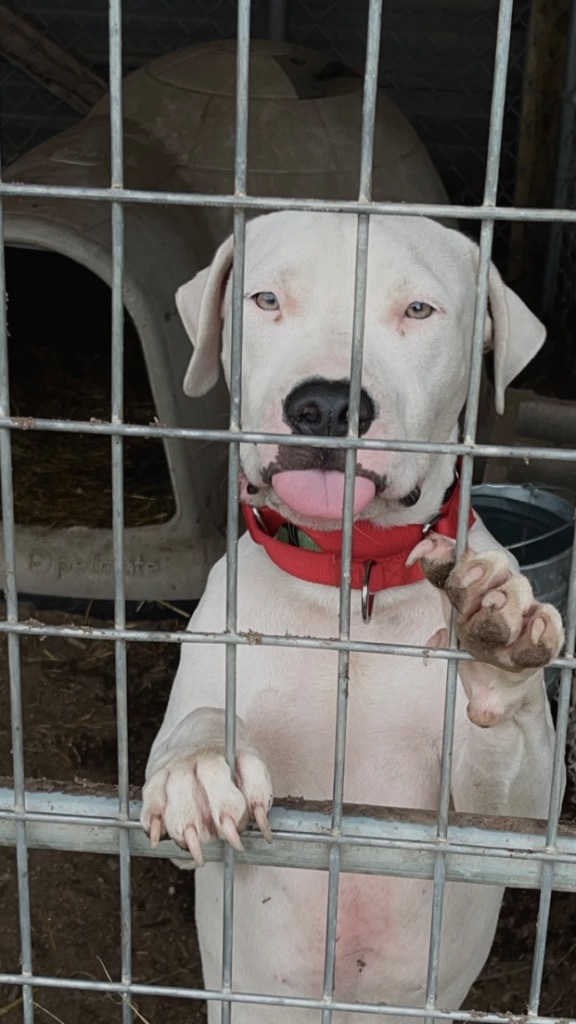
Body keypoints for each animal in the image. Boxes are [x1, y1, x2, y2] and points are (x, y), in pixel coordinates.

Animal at [141, 211, 561, 1019]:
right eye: (267, 299)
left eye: (419, 310)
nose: (327, 405)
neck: (350, 581)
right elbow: (198, 722)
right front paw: (202, 766)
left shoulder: (501, 823)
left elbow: (508, 778)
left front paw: (495, 639)